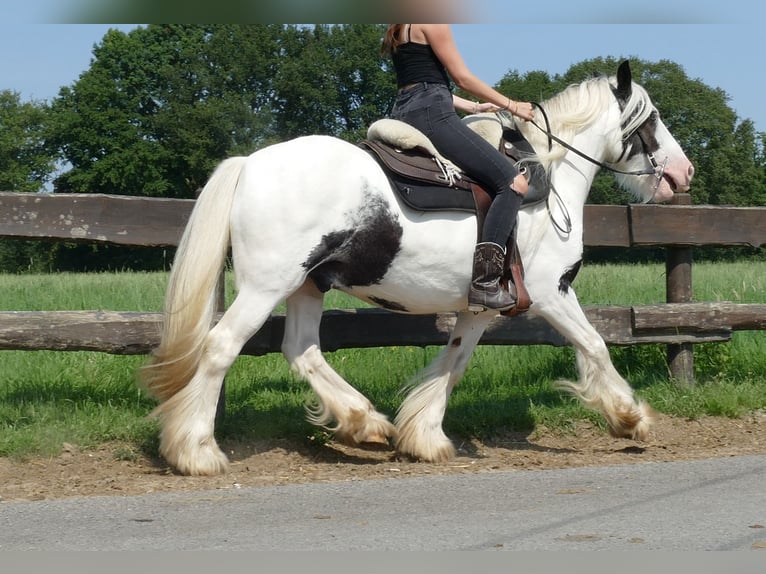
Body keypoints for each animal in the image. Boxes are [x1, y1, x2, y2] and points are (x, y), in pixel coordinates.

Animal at [138, 62, 696, 476]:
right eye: (651, 119)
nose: (683, 172)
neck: (549, 179)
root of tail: (250, 163)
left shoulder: (482, 305)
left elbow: (454, 361)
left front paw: (424, 436)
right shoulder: (549, 292)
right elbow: (595, 344)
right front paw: (630, 418)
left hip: (307, 285)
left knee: (301, 349)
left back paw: (365, 422)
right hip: (264, 286)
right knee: (220, 347)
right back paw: (196, 451)